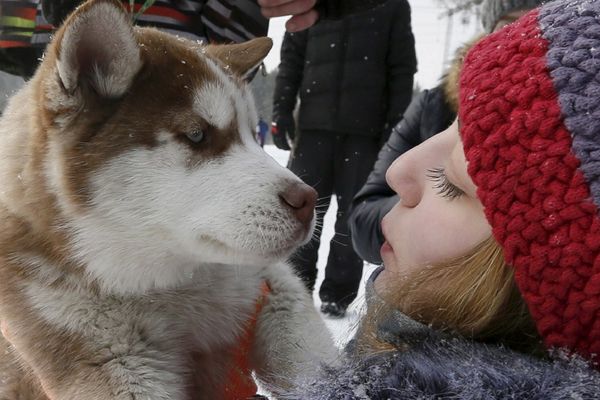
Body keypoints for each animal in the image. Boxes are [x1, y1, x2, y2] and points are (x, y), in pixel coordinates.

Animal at [0, 1, 336, 398]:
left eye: (253, 135)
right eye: (197, 135)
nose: (308, 200)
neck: (168, 282)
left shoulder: (266, 284)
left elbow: (303, 340)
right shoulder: (99, 354)